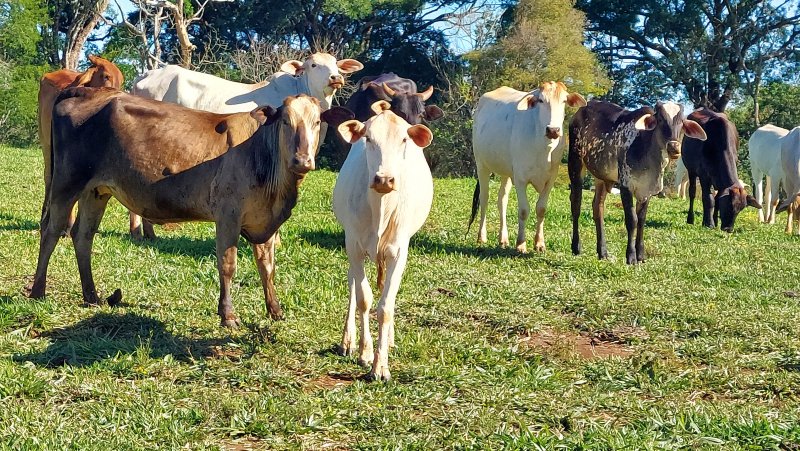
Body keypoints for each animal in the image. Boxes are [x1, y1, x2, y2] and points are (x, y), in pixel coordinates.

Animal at [26, 87, 352, 328]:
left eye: (316, 121)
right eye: (286, 121)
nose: (302, 160)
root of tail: (84, 90)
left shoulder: (266, 222)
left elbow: (267, 266)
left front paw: (275, 310)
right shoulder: (228, 215)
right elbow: (228, 264)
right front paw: (228, 315)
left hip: (96, 190)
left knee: (83, 236)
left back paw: (92, 295)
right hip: (66, 182)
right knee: (51, 231)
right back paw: (38, 291)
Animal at [332, 101, 434, 382]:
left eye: (404, 139)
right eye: (368, 138)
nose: (384, 179)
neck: (381, 207)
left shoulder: (399, 251)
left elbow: (385, 306)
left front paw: (381, 366)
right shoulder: (353, 245)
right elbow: (364, 299)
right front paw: (365, 352)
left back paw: (388, 340)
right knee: (352, 287)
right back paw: (348, 341)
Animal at [468, 84, 588, 254]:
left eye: (564, 101)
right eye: (541, 100)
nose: (553, 130)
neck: (544, 148)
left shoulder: (550, 179)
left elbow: (541, 209)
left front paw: (539, 243)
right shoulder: (520, 179)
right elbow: (524, 210)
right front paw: (521, 244)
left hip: (506, 172)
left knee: (502, 199)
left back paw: (503, 239)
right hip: (481, 165)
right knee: (484, 199)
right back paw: (482, 236)